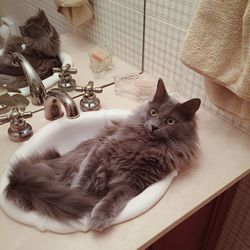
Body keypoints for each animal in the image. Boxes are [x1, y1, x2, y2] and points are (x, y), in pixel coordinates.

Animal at [4, 80, 201, 230]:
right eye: (153, 112)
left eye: (170, 121)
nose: (153, 126)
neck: (145, 145)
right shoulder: (101, 149)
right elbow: (83, 179)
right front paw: (77, 196)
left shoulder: (133, 183)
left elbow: (113, 200)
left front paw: (99, 217)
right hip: (62, 166)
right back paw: (25, 199)